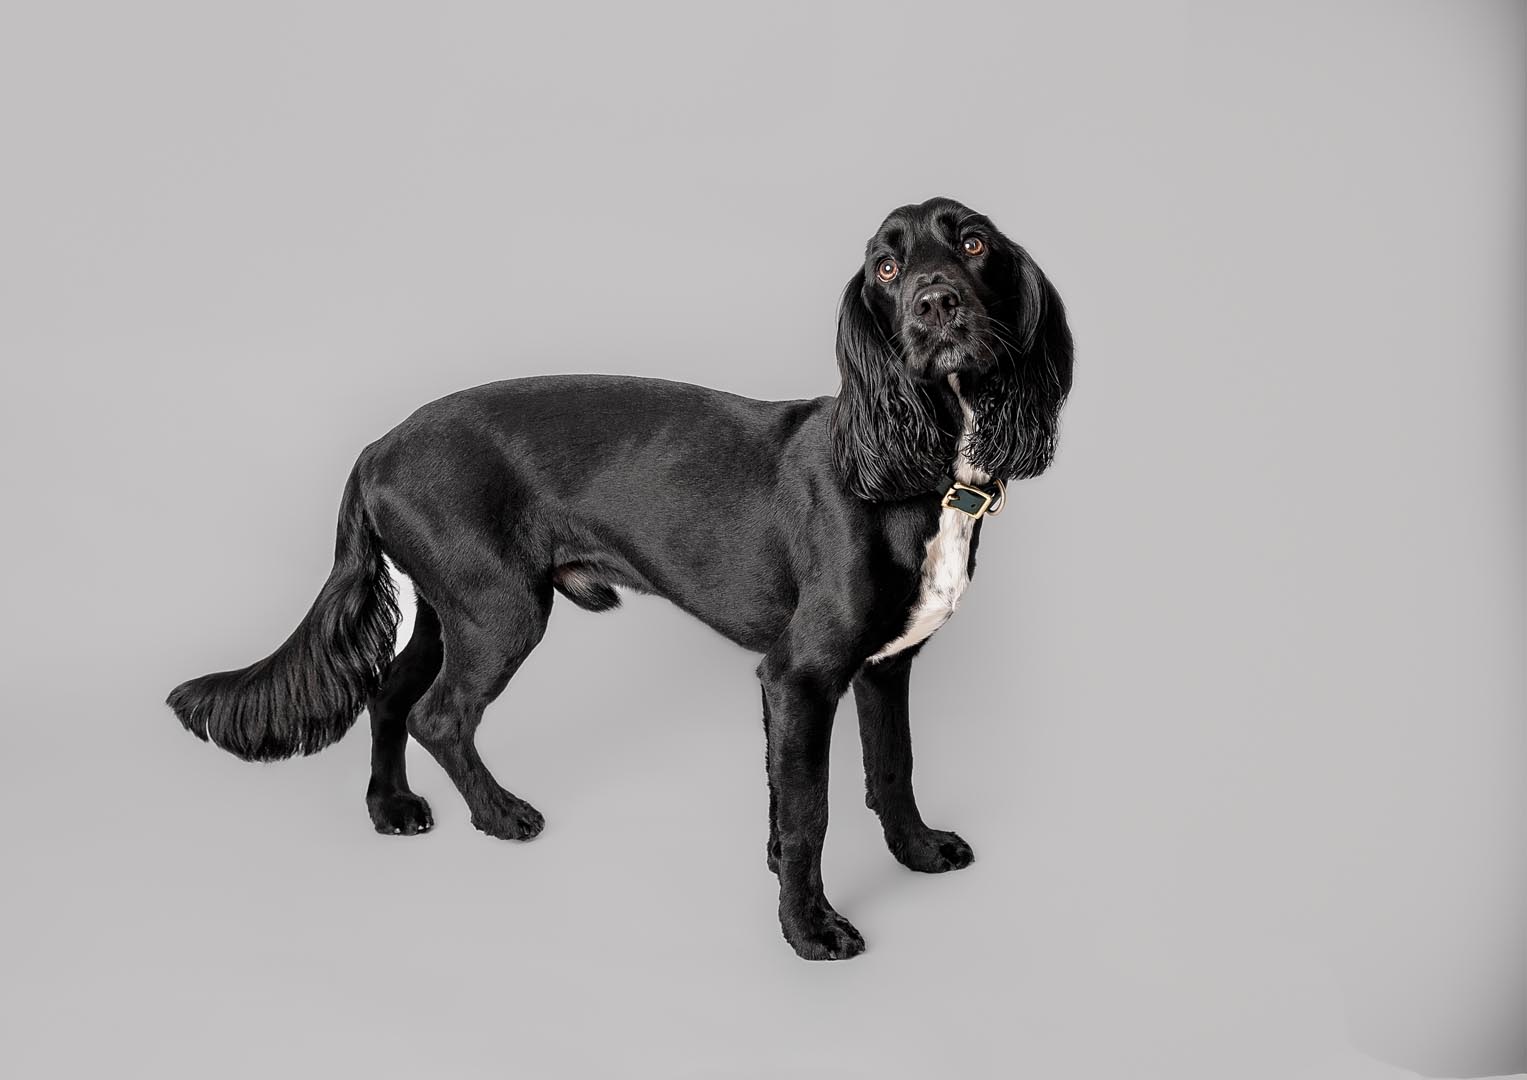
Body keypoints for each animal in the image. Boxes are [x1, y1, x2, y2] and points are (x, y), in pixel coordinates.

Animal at [167, 198, 1075, 959]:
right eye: (885, 269)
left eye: (972, 243)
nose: (935, 304)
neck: (923, 470)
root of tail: (373, 448)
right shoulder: (800, 676)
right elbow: (809, 812)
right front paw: (809, 929)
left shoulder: (883, 668)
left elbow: (889, 770)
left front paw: (915, 852)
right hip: (501, 610)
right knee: (438, 713)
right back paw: (498, 816)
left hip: (451, 604)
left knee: (390, 693)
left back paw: (390, 808)